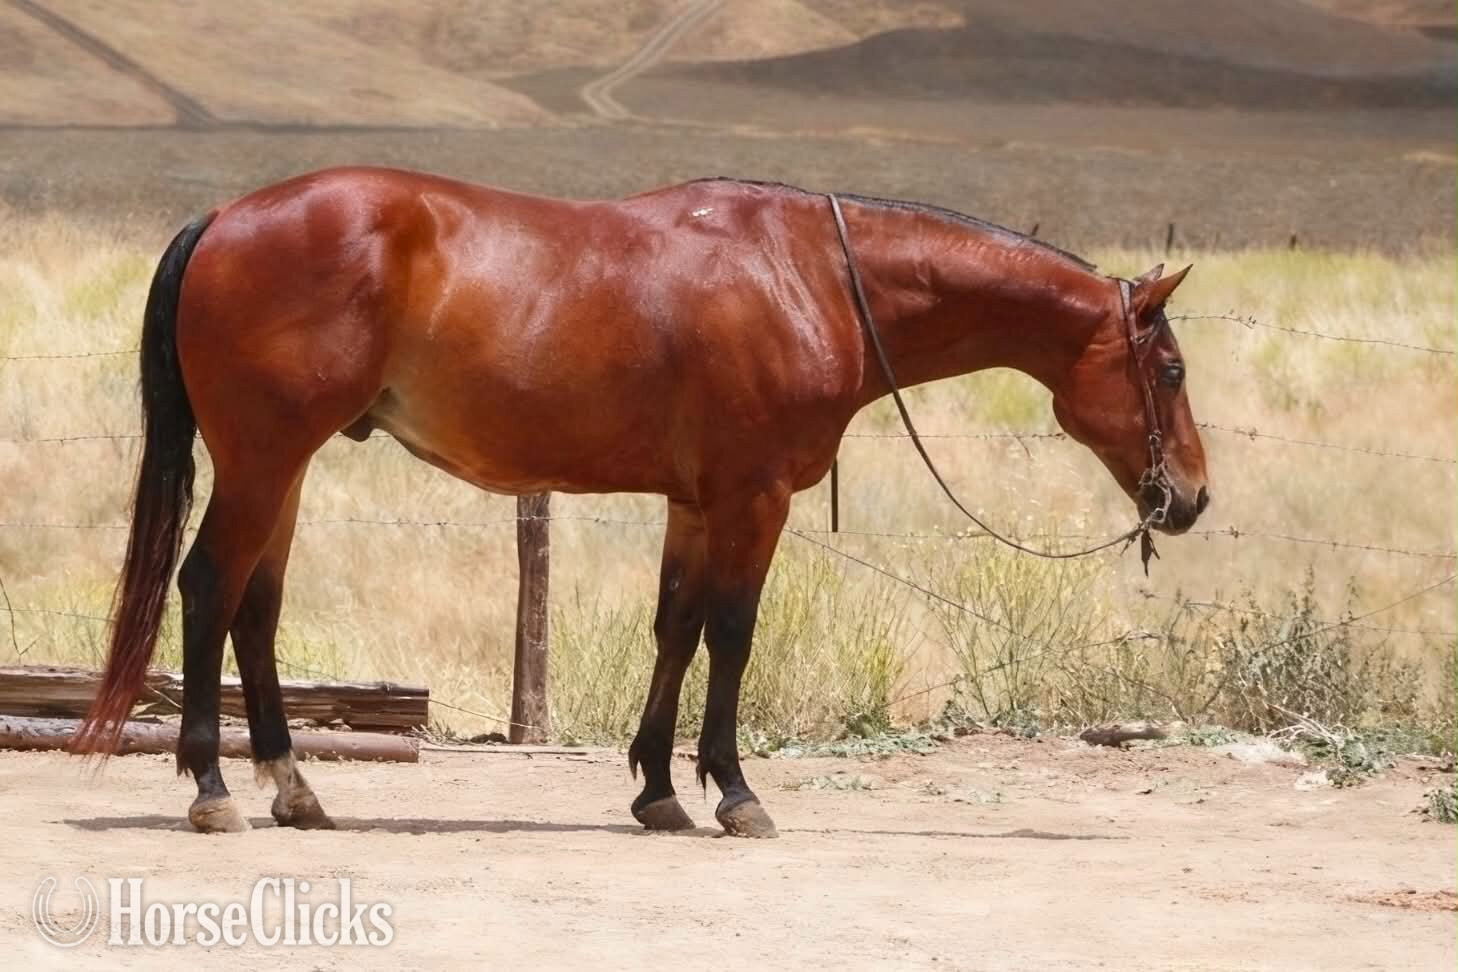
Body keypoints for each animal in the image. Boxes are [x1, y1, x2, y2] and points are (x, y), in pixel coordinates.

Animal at [72, 167, 1209, 838]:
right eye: (1173, 370)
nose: (1189, 498)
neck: (811, 276)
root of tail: (228, 217)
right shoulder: (753, 499)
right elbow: (733, 634)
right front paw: (735, 792)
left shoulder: (697, 503)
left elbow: (676, 628)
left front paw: (658, 789)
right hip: (264, 460)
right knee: (209, 589)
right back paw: (215, 789)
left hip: (285, 468)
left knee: (255, 608)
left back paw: (295, 787)